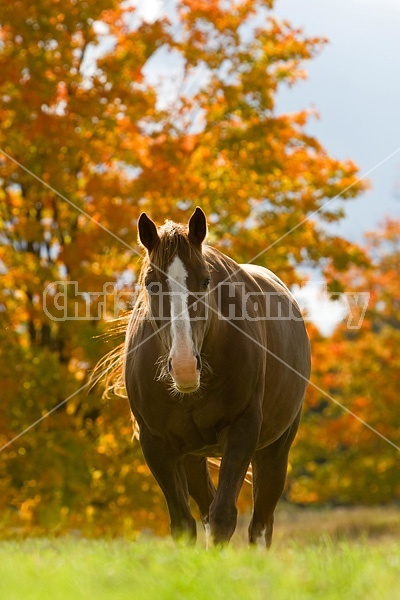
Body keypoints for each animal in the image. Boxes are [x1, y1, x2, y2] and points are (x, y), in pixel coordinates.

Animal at [123, 209, 310, 548]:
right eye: (151, 283)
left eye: (205, 280)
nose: (184, 366)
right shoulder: (155, 444)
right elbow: (184, 524)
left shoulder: (242, 431)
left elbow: (224, 517)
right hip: (192, 457)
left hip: (274, 450)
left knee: (261, 525)